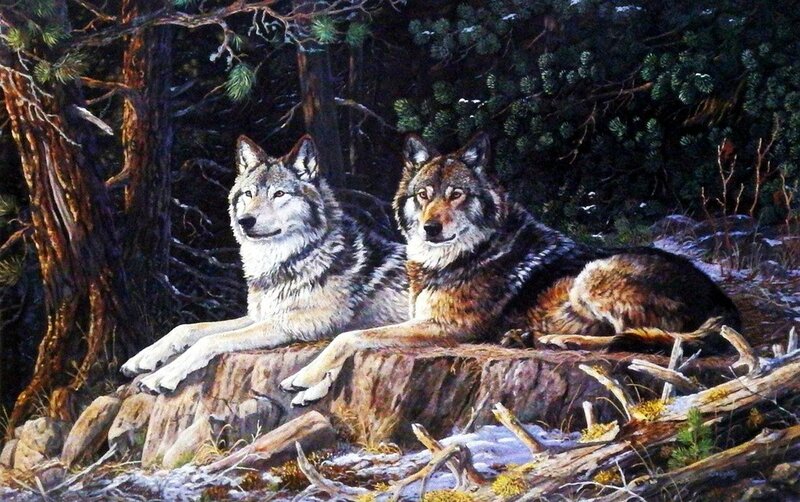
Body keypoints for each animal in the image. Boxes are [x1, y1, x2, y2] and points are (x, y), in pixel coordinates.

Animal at [122, 135, 408, 393]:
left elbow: (209, 340)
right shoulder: (259, 315)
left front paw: (164, 375)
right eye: (249, 194)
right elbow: (187, 329)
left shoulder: (295, 322)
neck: (290, 258)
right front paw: (142, 358)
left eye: (279, 194)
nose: (245, 221)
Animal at [280, 132, 741, 406]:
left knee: (631, 338)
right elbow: (355, 340)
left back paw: (557, 341)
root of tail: (724, 301)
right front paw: (311, 389)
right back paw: (526, 337)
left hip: (593, 275)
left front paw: (304, 376)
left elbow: (350, 337)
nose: (430, 227)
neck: (464, 255)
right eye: (424, 195)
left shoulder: (446, 329)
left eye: (457, 194)